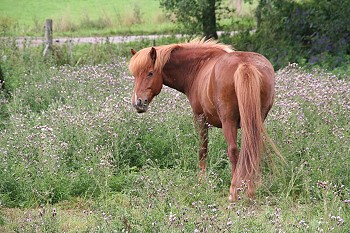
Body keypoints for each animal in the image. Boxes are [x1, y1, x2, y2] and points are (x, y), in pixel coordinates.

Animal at [129, 39, 276, 201]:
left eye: (150, 73)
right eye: (135, 75)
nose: (138, 103)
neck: (198, 67)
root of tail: (245, 64)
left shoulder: (200, 118)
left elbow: (202, 150)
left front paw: (201, 182)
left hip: (229, 121)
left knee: (233, 151)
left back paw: (233, 192)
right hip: (256, 121)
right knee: (252, 151)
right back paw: (250, 190)